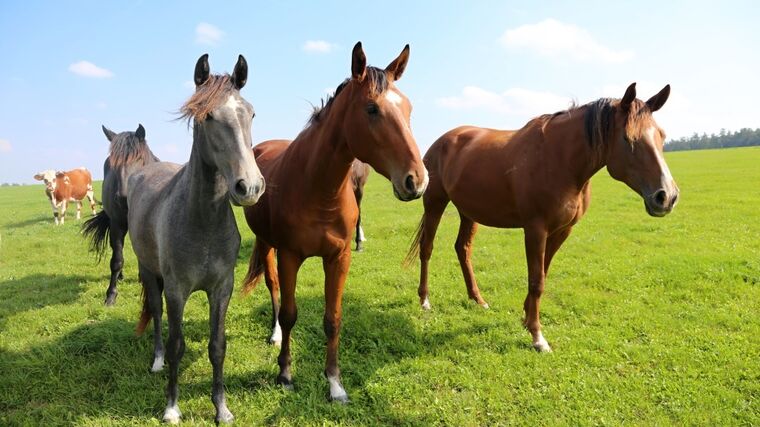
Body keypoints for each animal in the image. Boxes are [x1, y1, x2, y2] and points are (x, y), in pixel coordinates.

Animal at [128, 55, 264, 426]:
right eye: (208, 116)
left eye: (250, 113)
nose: (250, 187)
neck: (203, 223)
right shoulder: (177, 289)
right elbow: (178, 344)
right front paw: (172, 407)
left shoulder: (221, 288)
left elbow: (217, 347)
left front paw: (221, 408)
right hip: (149, 272)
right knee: (156, 314)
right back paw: (157, 361)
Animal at [242, 41, 428, 402]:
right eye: (371, 109)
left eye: (410, 108)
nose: (417, 180)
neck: (318, 189)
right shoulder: (290, 256)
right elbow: (290, 314)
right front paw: (285, 373)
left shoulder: (338, 258)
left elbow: (333, 318)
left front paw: (335, 383)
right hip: (266, 242)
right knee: (272, 286)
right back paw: (273, 334)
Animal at [406, 83, 680, 354]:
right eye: (628, 138)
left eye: (662, 136)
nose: (666, 196)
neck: (560, 160)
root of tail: (442, 141)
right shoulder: (535, 229)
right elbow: (536, 281)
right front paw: (537, 336)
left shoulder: (562, 230)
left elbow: (543, 275)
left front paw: (526, 318)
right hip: (435, 204)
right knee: (427, 248)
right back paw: (425, 299)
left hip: (469, 212)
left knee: (463, 249)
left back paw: (478, 300)